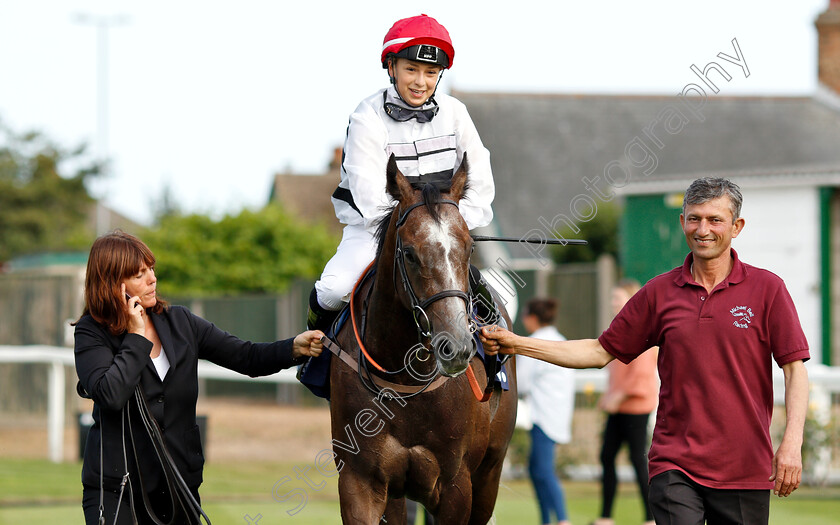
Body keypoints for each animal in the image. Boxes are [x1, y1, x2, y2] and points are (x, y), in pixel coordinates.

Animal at [324, 156, 516, 524]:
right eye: (411, 253)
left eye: (470, 247)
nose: (456, 346)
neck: (405, 380)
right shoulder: (359, 481)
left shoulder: (457, 488)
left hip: (490, 476)